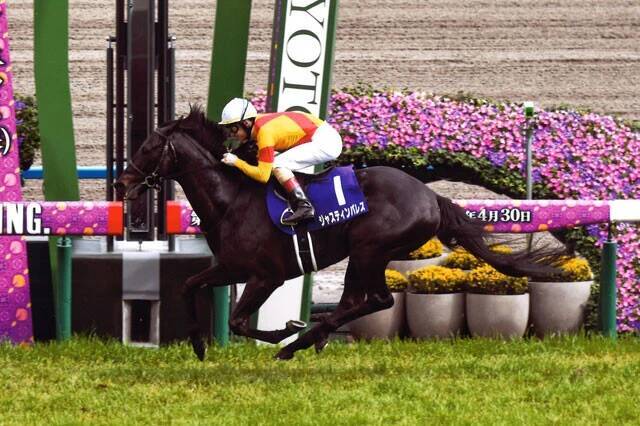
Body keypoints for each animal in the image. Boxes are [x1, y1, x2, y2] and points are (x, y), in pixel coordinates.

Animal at [115, 107, 564, 360]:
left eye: (149, 147)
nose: (122, 183)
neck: (232, 201)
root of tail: (432, 197)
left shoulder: (266, 275)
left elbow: (241, 322)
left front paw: (283, 331)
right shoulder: (231, 267)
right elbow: (188, 285)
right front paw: (197, 344)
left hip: (369, 248)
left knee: (371, 301)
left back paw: (300, 342)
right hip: (366, 254)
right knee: (361, 301)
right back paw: (310, 338)